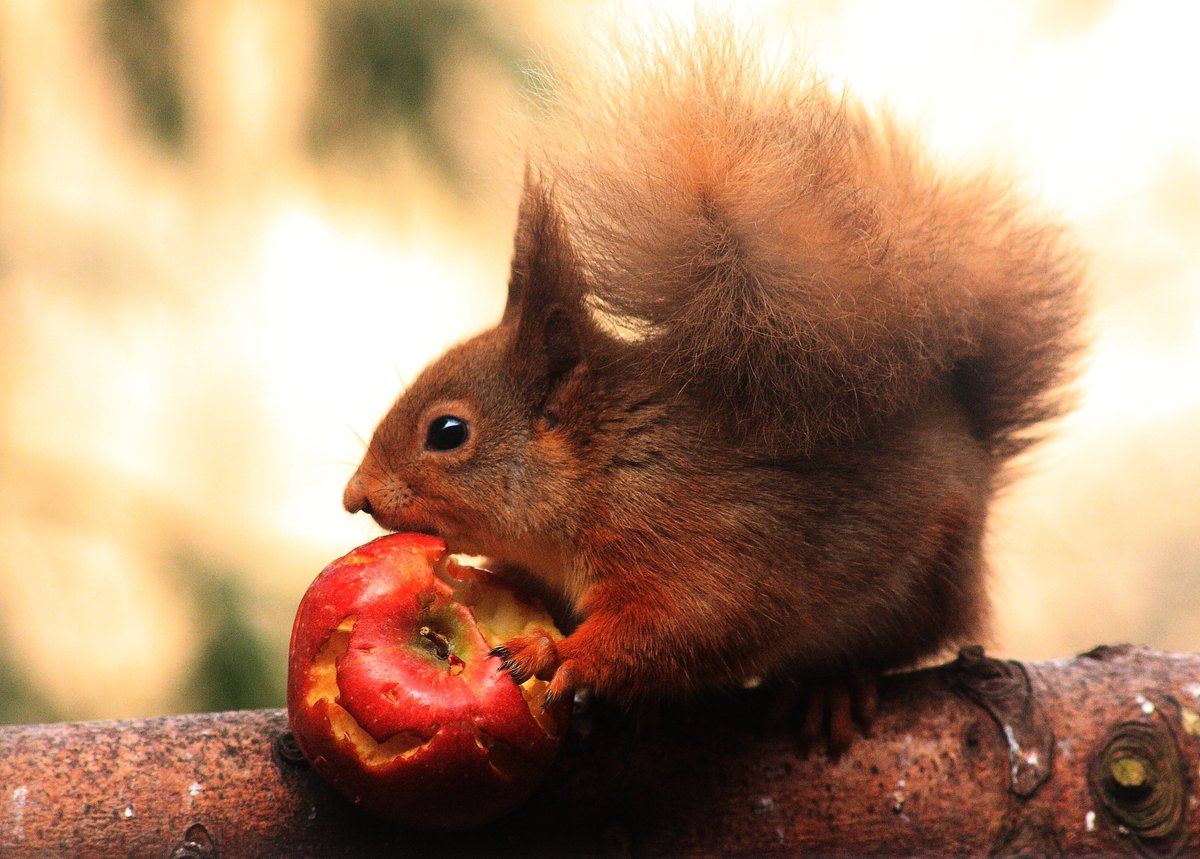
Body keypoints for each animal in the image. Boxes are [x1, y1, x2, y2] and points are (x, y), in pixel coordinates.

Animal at [342, 25, 1085, 750]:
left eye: (447, 432)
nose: (356, 496)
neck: (604, 463)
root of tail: (968, 431)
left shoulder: (690, 536)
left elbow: (686, 624)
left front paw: (557, 656)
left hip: (915, 587)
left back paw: (832, 683)